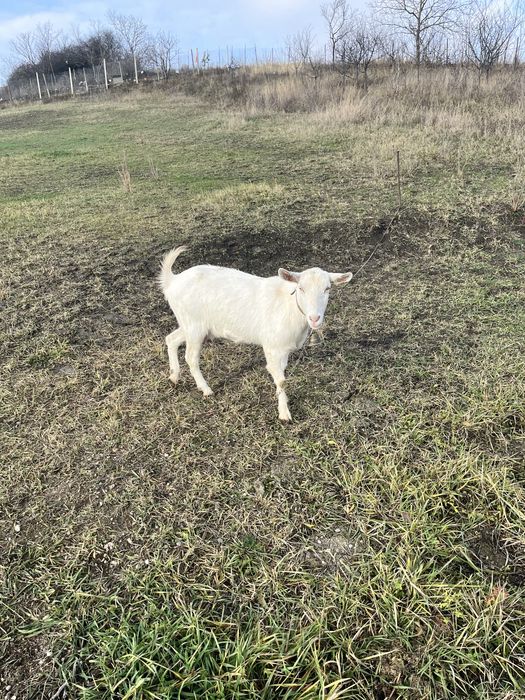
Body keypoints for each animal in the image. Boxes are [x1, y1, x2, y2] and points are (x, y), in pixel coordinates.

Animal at [159, 246, 352, 421]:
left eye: (327, 288)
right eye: (301, 288)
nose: (315, 318)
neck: (289, 306)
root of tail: (172, 281)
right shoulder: (272, 346)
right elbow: (281, 379)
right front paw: (284, 414)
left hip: (192, 325)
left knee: (171, 339)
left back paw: (174, 376)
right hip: (194, 326)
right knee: (190, 357)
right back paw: (205, 389)